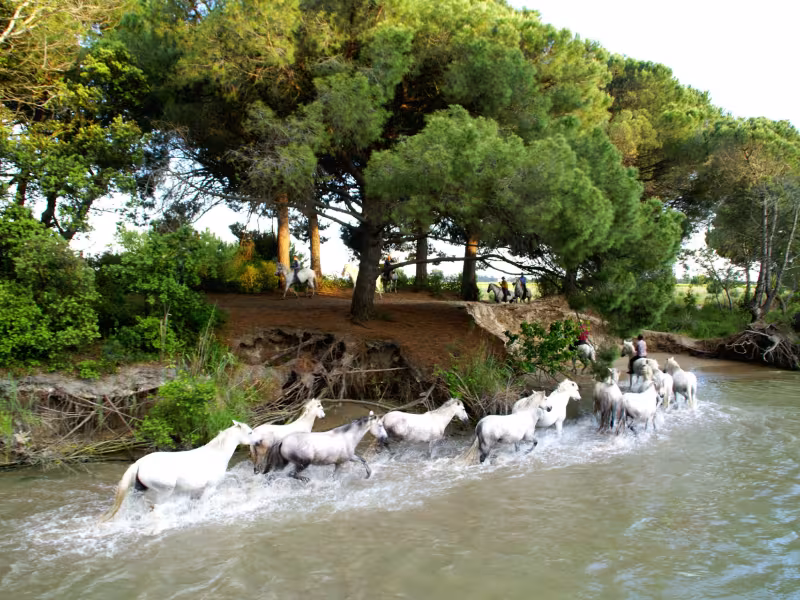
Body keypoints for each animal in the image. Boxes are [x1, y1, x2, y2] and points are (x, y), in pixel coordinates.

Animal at [100, 420, 255, 522]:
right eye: (250, 432)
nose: (257, 441)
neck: (217, 454)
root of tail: (139, 463)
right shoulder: (210, 487)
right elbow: (203, 504)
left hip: (139, 490)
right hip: (165, 490)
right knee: (156, 507)